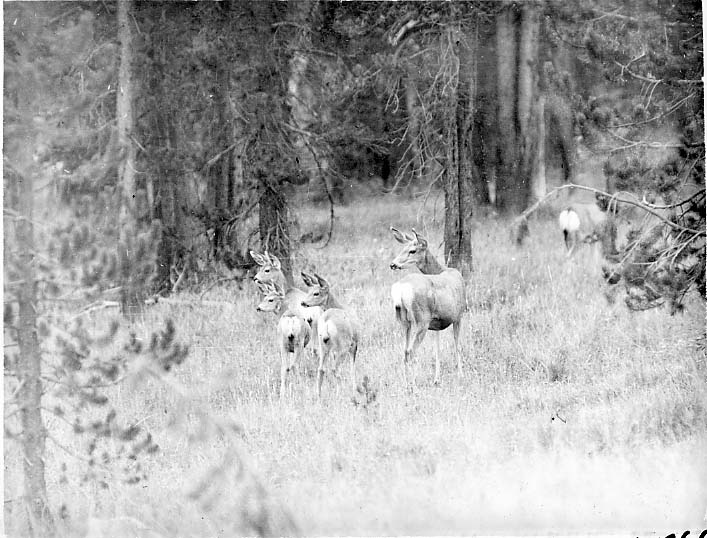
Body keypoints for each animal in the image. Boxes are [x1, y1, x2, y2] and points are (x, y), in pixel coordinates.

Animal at [389, 227, 466, 388]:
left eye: (412, 250)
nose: (393, 264)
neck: (442, 270)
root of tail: (400, 289)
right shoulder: (458, 315)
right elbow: (457, 344)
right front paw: (461, 376)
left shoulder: (436, 323)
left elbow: (437, 348)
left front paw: (437, 379)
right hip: (421, 319)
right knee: (411, 351)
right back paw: (413, 385)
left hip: (404, 320)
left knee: (405, 350)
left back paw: (406, 383)